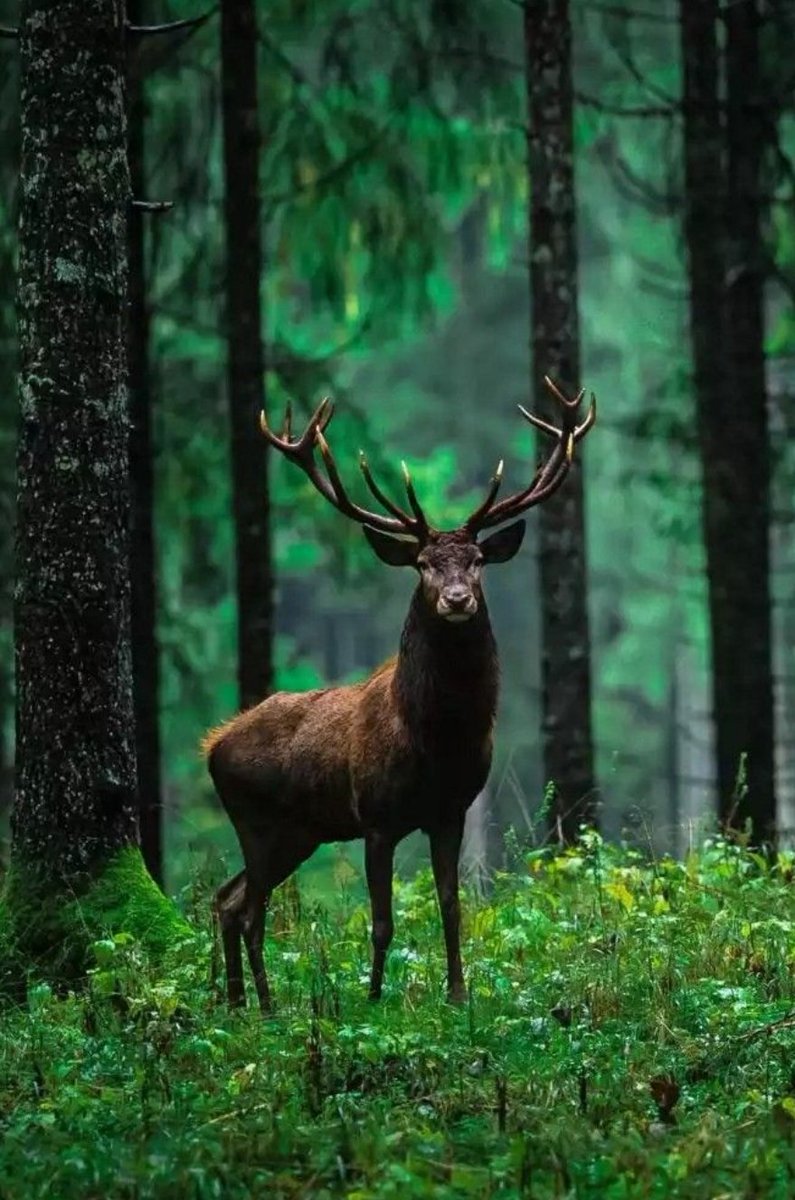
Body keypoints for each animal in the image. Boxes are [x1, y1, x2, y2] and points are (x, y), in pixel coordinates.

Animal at [203, 377, 595, 1012]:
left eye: (478, 560)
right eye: (423, 564)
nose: (458, 598)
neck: (435, 740)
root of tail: (212, 744)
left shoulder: (451, 811)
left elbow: (452, 906)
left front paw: (458, 994)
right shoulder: (377, 817)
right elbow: (381, 921)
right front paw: (372, 998)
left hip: (299, 832)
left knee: (228, 899)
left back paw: (242, 1004)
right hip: (255, 820)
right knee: (249, 909)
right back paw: (264, 1007)